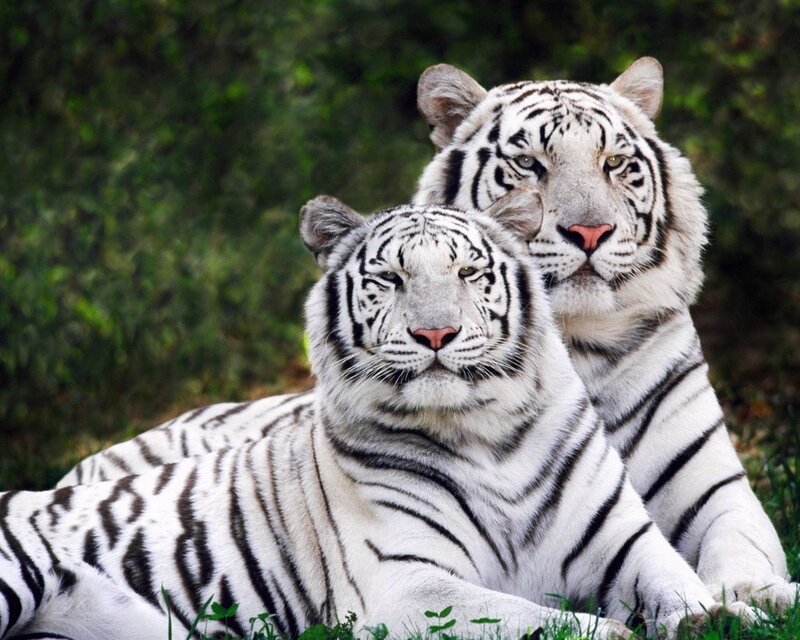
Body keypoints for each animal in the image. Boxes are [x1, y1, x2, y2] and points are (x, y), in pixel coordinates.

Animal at [1, 193, 741, 640]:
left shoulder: (625, 542)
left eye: (469, 274)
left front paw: (715, 615)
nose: (436, 334)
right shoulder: (405, 584)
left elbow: (678, 583)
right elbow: (523, 616)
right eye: (391, 279)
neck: (489, 436)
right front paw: (613, 631)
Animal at [57, 58, 798, 610]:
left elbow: (741, 551)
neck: (577, 344)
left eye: (616, 163)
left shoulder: (713, 490)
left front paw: (758, 597)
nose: (589, 232)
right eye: (529, 165)